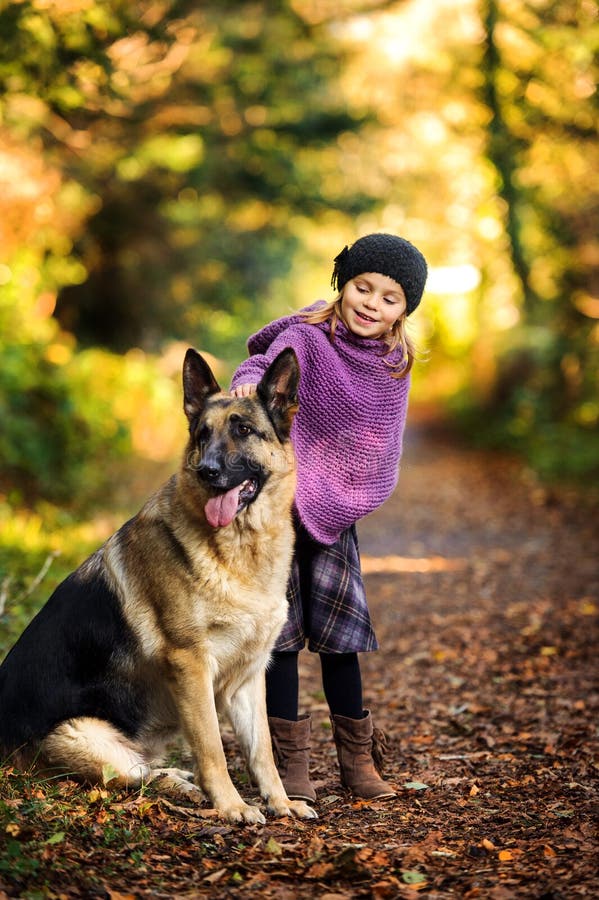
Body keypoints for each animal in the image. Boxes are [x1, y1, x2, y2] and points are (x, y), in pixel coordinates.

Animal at [0, 346, 316, 824]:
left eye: (243, 430)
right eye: (202, 434)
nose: (206, 471)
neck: (239, 548)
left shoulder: (248, 677)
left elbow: (261, 750)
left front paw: (279, 802)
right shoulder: (191, 666)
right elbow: (211, 748)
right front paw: (231, 806)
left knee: (148, 769)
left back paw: (182, 782)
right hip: (89, 739)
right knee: (135, 776)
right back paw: (186, 789)